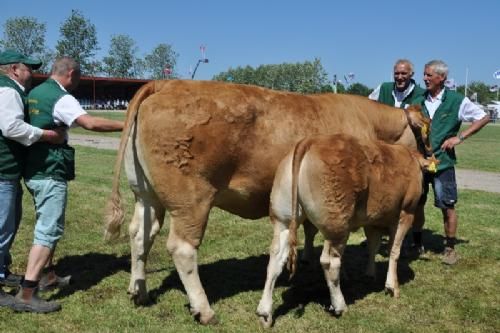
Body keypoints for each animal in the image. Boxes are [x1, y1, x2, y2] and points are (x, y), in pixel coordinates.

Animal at [258, 133, 434, 326]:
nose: (425, 197)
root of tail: (311, 141)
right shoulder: (406, 213)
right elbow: (394, 251)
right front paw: (392, 286)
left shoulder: (373, 220)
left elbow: (373, 246)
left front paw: (369, 274)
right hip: (337, 226)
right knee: (330, 262)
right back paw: (340, 305)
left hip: (283, 221)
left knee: (275, 259)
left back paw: (265, 312)